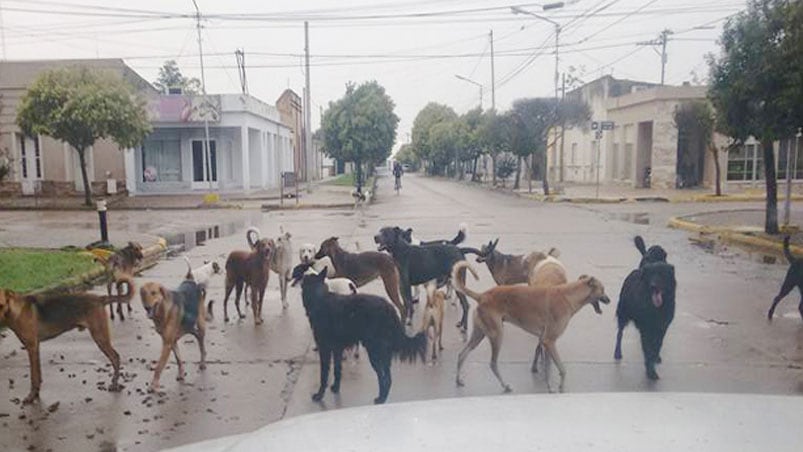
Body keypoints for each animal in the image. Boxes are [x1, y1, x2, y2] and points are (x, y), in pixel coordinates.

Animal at [0, 278, 133, 404]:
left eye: (0, 305)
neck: (16, 310)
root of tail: (99, 298)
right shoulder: (35, 348)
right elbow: (37, 375)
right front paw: (36, 394)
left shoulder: (31, 347)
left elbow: (34, 377)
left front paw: (31, 397)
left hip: (100, 337)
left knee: (115, 357)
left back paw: (114, 384)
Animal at [302, 266, 428, 404]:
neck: (320, 297)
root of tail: (389, 309)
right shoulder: (337, 350)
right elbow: (337, 370)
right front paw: (335, 387)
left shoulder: (325, 349)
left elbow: (323, 375)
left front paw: (319, 395)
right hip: (382, 353)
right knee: (388, 377)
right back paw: (383, 397)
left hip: (375, 352)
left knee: (383, 377)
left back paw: (381, 398)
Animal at [452, 260, 608, 394]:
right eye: (603, 289)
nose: (609, 300)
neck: (568, 296)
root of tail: (482, 296)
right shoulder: (549, 340)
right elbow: (562, 369)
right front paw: (560, 388)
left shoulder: (545, 341)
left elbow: (546, 367)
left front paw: (550, 388)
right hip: (497, 335)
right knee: (492, 364)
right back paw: (505, 385)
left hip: (480, 334)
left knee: (461, 354)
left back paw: (458, 380)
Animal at [620, 235, 676, 380]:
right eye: (652, 274)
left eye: (661, 274)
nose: (654, 285)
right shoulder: (647, 327)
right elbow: (648, 347)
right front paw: (651, 369)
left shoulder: (662, 326)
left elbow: (657, 345)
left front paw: (655, 358)